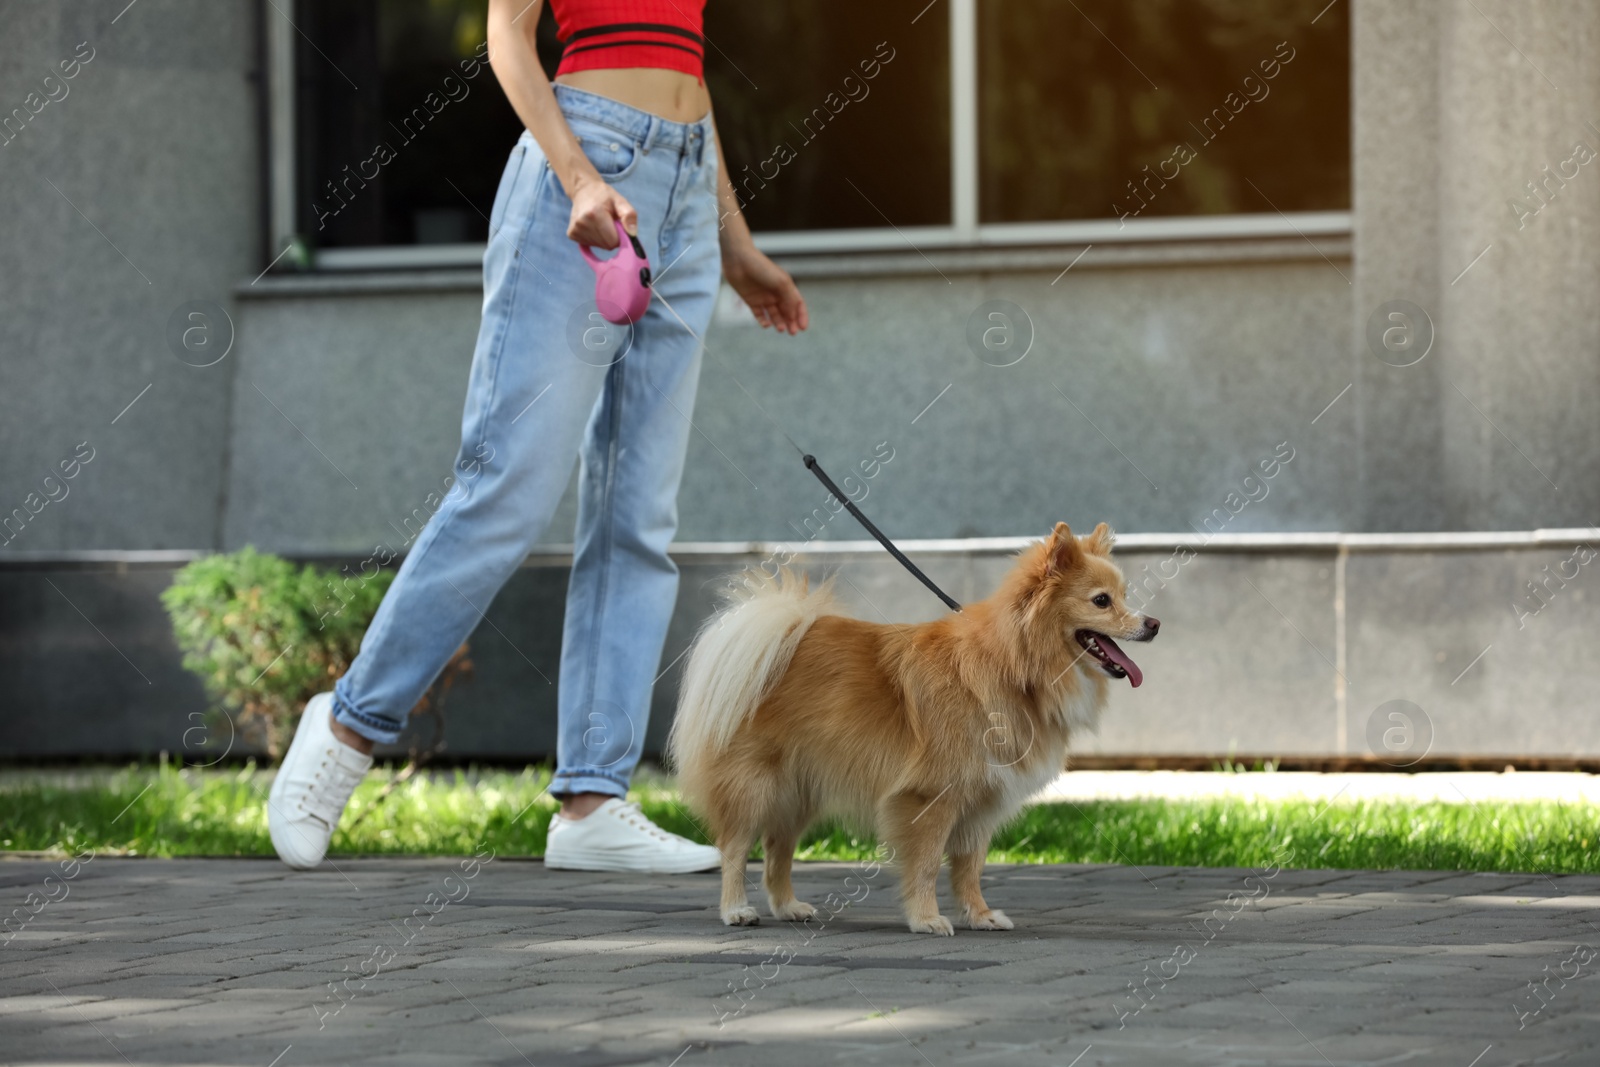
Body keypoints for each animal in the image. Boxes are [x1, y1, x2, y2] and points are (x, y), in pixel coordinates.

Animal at [668, 524, 1158, 934]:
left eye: (1124, 595)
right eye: (1102, 600)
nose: (1153, 623)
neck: (1012, 666)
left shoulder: (980, 802)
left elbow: (969, 868)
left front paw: (979, 915)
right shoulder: (932, 799)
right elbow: (925, 866)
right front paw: (927, 919)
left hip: (798, 791)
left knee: (777, 850)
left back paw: (788, 906)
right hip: (755, 785)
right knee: (735, 848)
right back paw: (736, 909)